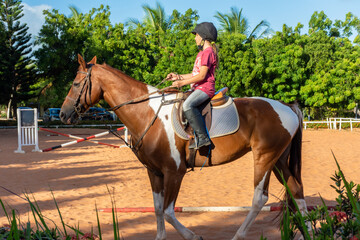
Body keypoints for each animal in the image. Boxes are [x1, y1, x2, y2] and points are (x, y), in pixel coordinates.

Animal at [60, 54, 308, 240]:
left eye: (75, 84)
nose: (63, 114)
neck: (148, 114)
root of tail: (286, 106)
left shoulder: (174, 172)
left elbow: (169, 212)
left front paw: (193, 236)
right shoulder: (155, 172)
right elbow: (158, 210)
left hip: (264, 158)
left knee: (259, 199)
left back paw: (238, 235)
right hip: (278, 160)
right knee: (296, 189)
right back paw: (308, 232)